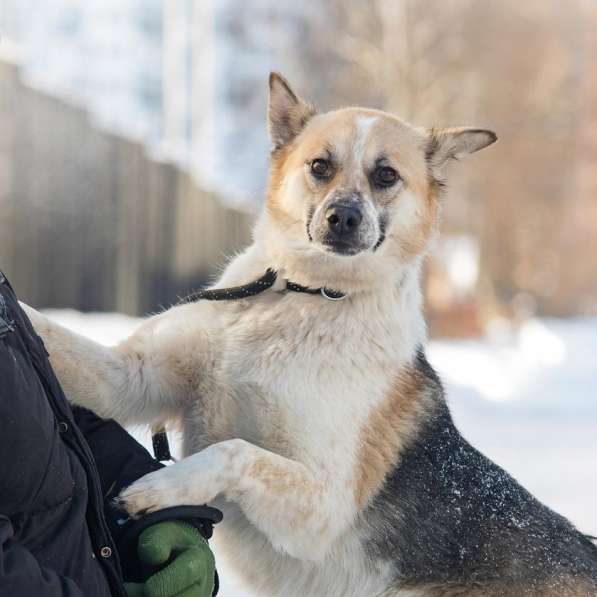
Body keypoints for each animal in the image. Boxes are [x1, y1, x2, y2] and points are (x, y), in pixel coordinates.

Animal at [24, 72, 596, 592]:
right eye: (320, 166)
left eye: (386, 175)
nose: (342, 217)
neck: (304, 296)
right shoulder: (130, 377)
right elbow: (49, 335)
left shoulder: (323, 506)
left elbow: (235, 451)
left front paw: (161, 488)